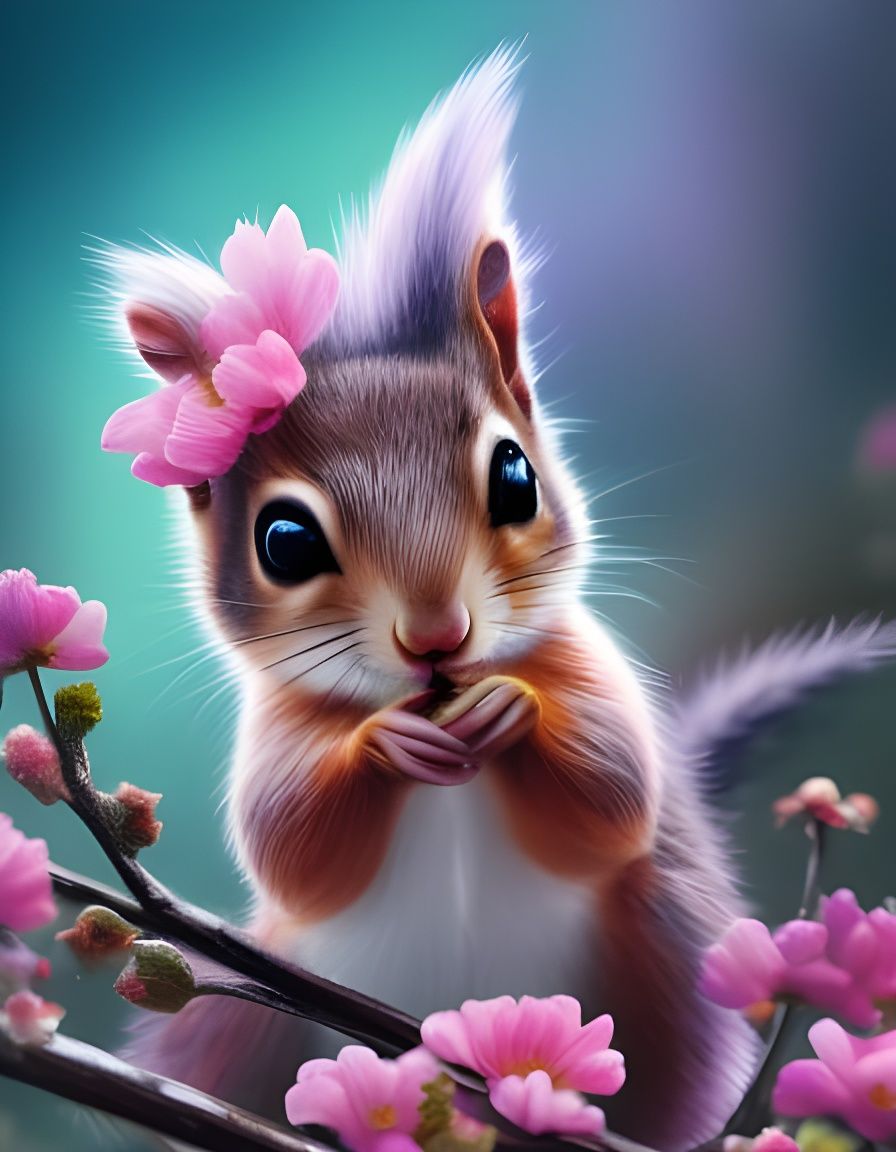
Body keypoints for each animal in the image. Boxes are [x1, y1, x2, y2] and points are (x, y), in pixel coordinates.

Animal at [99, 48, 896, 1151]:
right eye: (283, 540)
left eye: (515, 476)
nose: (438, 638)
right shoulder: (279, 734)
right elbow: (292, 846)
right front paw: (384, 744)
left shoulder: (590, 672)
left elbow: (612, 797)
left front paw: (510, 711)